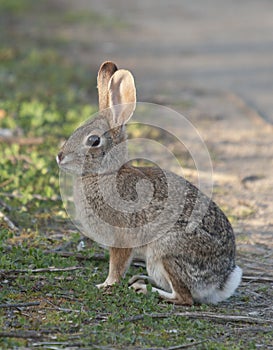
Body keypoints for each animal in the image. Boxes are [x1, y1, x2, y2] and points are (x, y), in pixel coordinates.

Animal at [56, 60, 241, 304]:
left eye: (94, 140)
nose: (59, 157)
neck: (104, 173)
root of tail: (221, 281)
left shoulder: (121, 239)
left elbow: (117, 266)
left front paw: (106, 284)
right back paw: (141, 280)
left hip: (164, 252)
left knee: (185, 297)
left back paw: (144, 289)